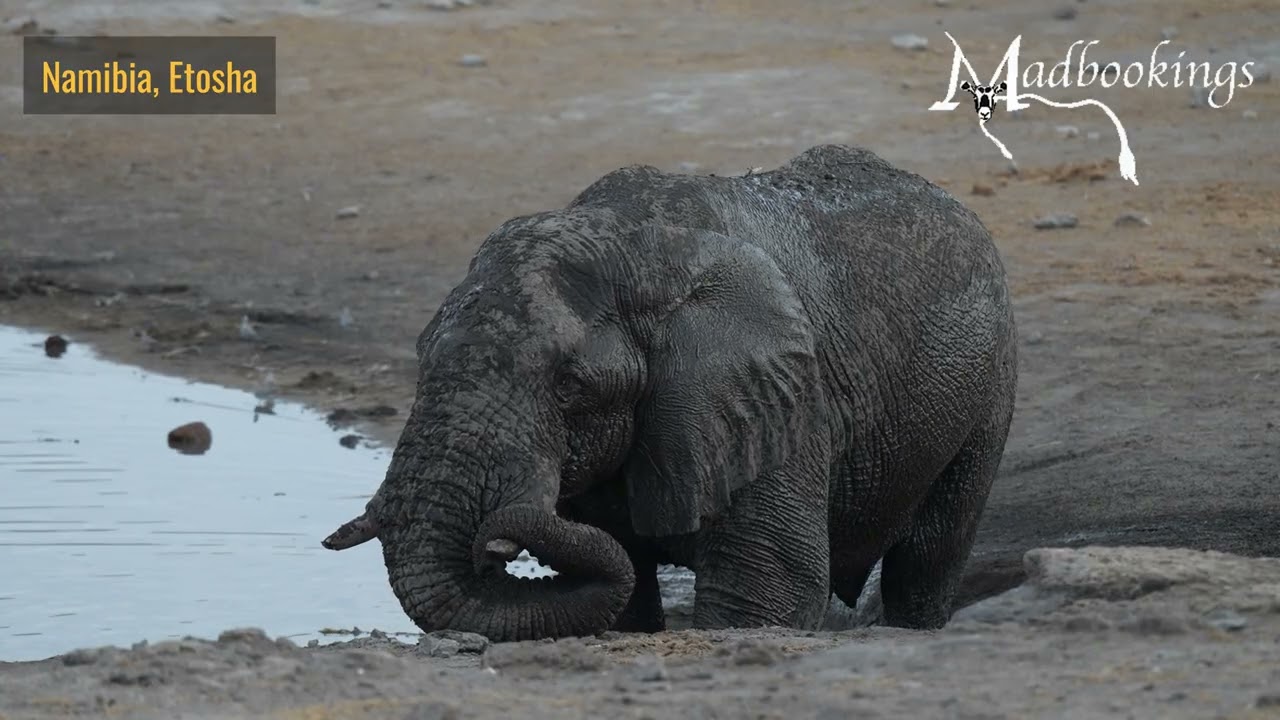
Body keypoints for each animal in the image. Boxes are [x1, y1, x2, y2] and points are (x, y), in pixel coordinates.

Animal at [322, 144, 1018, 642]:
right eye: (420, 356)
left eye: (570, 386)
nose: (490, 543)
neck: (638, 251)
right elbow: (623, 585)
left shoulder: (779, 402)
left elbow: (765, 587)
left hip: (991, 386)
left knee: (927, 556)